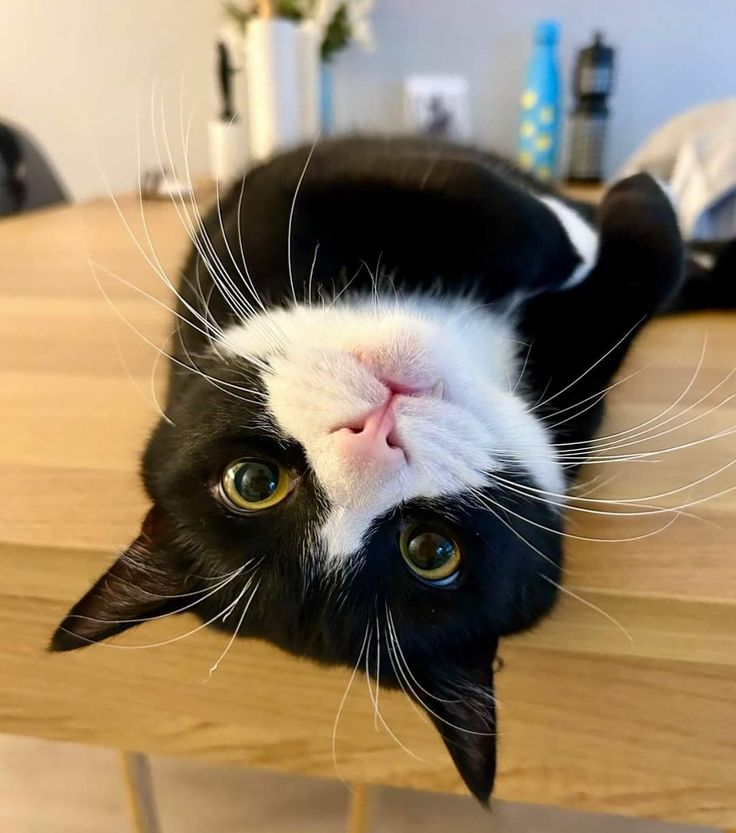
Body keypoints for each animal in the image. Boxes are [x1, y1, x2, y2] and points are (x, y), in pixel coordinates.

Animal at [53, 138, 688, 808]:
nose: (372, 436)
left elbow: (467, 199)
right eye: (432, 551)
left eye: (252, 482)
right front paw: (617, 215)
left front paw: (590, 223)